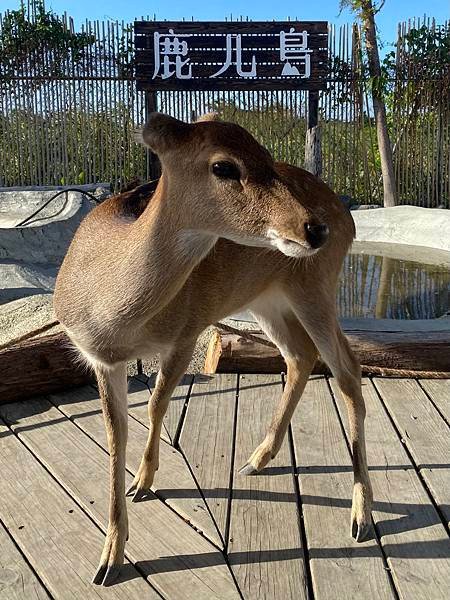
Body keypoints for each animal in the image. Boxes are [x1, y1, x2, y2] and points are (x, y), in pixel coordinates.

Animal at [53, 112, 372, 584]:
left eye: (266, 155)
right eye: (224, 165)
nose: (315, 229)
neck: (112, 315)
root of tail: (347, 217)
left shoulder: (186, 333)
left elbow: (156, 405)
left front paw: (141, 486)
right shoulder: (100, 359)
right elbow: (115, 434)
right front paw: (109, 557)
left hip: (316, 287)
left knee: (348, 369)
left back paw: (360, 516)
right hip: (267, 299)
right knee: (300, 355)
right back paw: (257, 458)